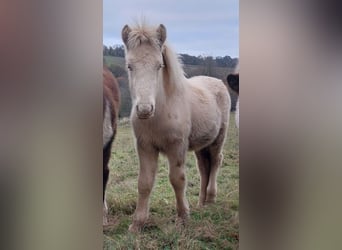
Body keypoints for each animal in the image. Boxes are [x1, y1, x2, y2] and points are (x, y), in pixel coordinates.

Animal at [121, 23, 231, 232]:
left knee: (215, 161)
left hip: (218, 138)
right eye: (129, 66)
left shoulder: (177, 146)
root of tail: (217, 81)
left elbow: (177, 179)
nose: (145, 109)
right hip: (201, 144)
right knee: (204, 166)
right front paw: (137, 223)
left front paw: (183, 217)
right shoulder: (145, 147)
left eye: (159, 65)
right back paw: (201, 203)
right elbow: (144, 183)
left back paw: (211, 199)